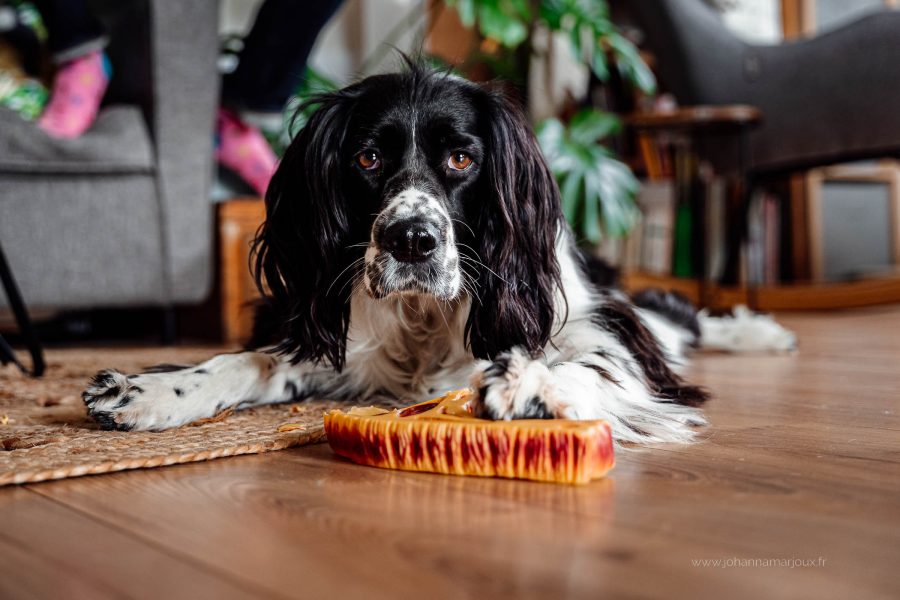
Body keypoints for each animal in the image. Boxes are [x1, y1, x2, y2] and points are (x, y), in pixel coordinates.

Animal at [79, 65, 796, 442]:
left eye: (461, 159)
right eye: (368, 158)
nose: (412, 240)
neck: (427, 319)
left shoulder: (596, 326)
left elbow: (592, 363)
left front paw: (531, 384)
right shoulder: (340, 336)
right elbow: (251, 361)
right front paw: (151, 388)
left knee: (675, 318)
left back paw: (761, 332)